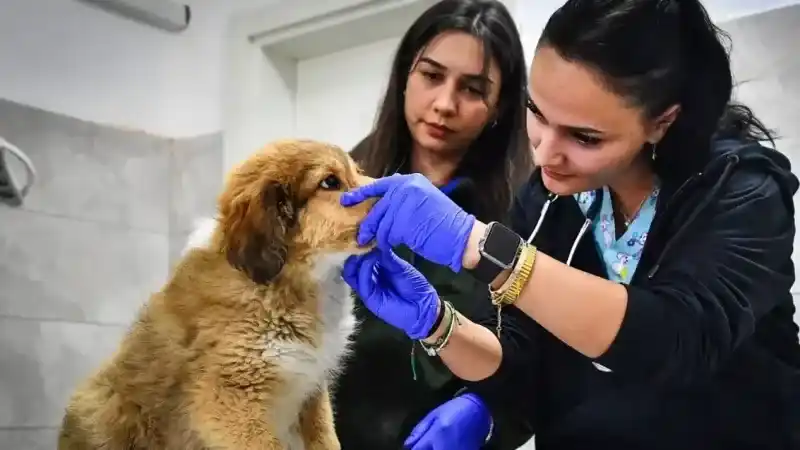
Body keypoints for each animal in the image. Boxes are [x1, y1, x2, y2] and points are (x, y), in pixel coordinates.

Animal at [57, 139, 376, 448]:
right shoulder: (228, 397)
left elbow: (327, 440)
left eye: (357, 171)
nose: (390, 184)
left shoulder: (311, 392)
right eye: (330, 181)